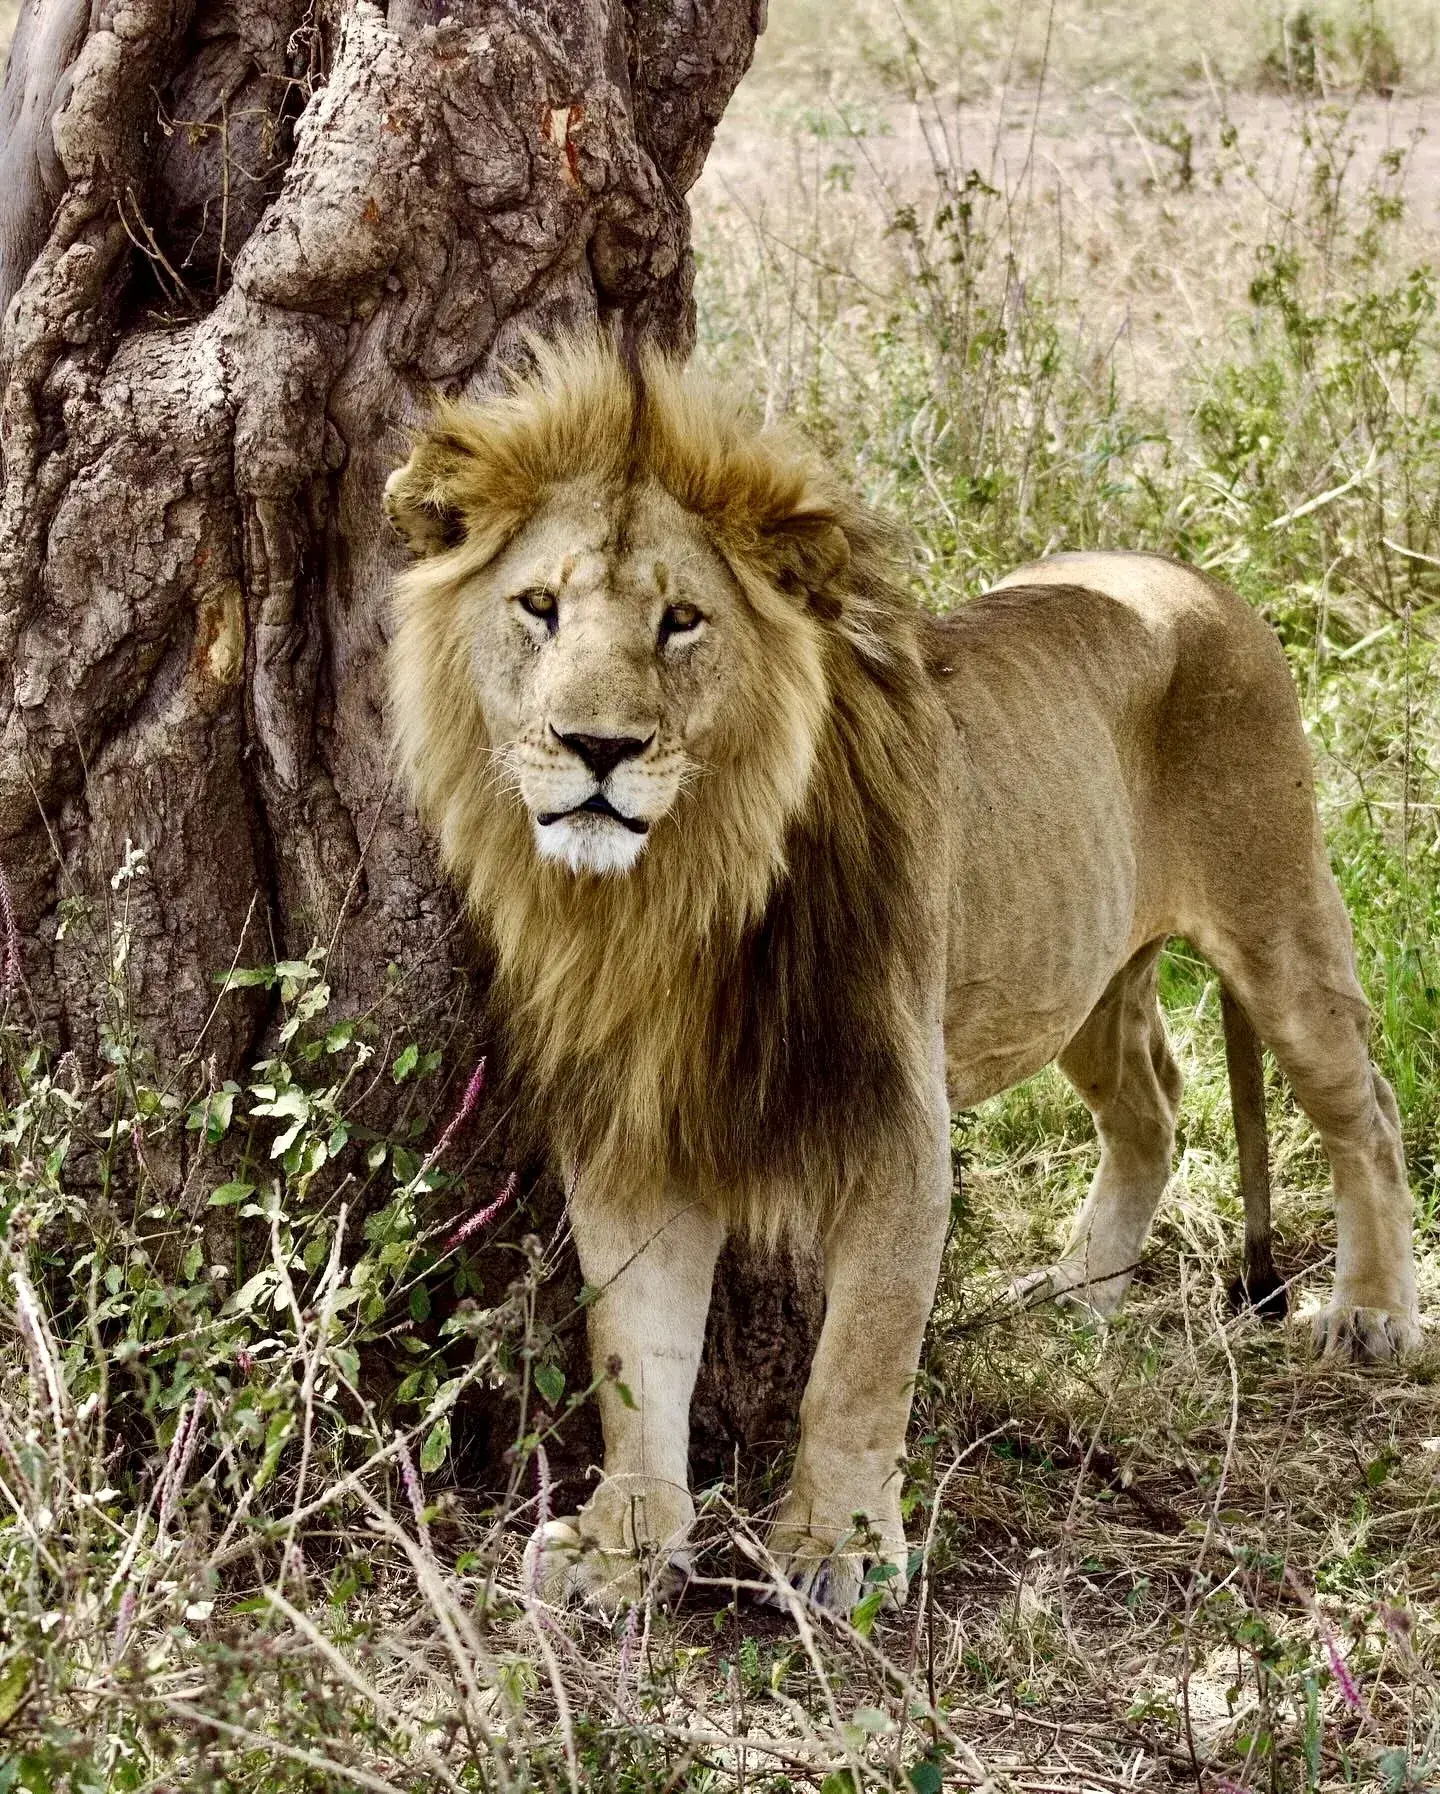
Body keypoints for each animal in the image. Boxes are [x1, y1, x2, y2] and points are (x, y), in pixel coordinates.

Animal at [385, 335, 1420, 1617]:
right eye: (539, 608)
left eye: (682, 621)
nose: (598, 748)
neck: (671, 898)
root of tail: (1193, 576)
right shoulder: (636, 1125)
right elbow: (633, 1351)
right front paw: (624, 1545)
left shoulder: (894, 1117)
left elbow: (860, 1359)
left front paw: (836, 1550)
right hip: (1067, 967)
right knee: (1155, 1105)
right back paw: (1074, 1294)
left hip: (1274, 919)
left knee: (1363, 1105)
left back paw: (1371, 1314)